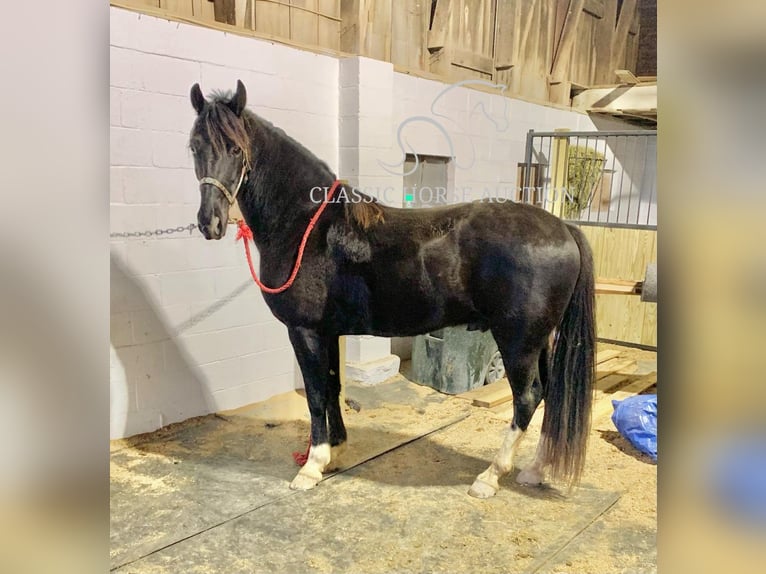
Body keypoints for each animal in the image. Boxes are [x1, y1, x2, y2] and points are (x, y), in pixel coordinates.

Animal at [189, 81, 596, 500]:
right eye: (194, 146)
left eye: (236, 149)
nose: (210, 222)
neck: (307, 226)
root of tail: (563, 228)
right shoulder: (328, 332)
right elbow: (333, 386)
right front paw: (336, 452)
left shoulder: (305, 331)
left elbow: (316, 394)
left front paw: (312, 466)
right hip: (541, 340)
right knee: (549, 392)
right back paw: (535, 469)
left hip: (518, 341)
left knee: (527, 398)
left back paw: (490, 477)